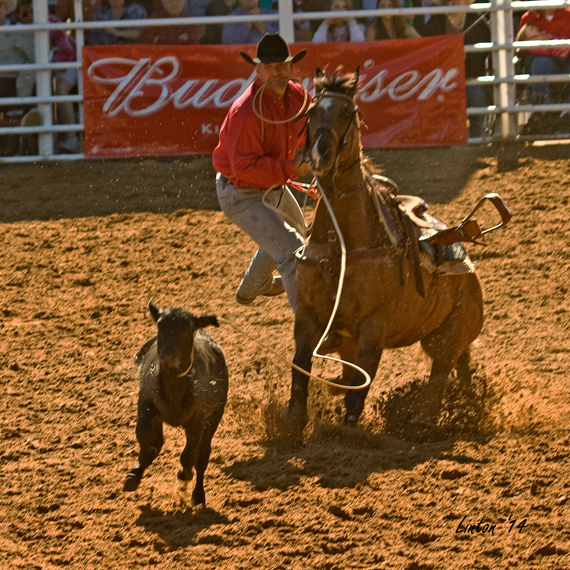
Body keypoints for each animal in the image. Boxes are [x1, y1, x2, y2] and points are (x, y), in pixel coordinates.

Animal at [286, 69, 482, 432]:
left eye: (348, 114)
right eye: (312, 113)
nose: (319, 155)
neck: (342, 244)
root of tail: (471, 274)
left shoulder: (373, 328)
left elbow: (361, 381)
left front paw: (349, 430)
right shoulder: (307, 316)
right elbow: (301, 366)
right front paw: (292, 421)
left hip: (450, 336)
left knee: (440, 374)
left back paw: (422, 419)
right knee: (459, 370)